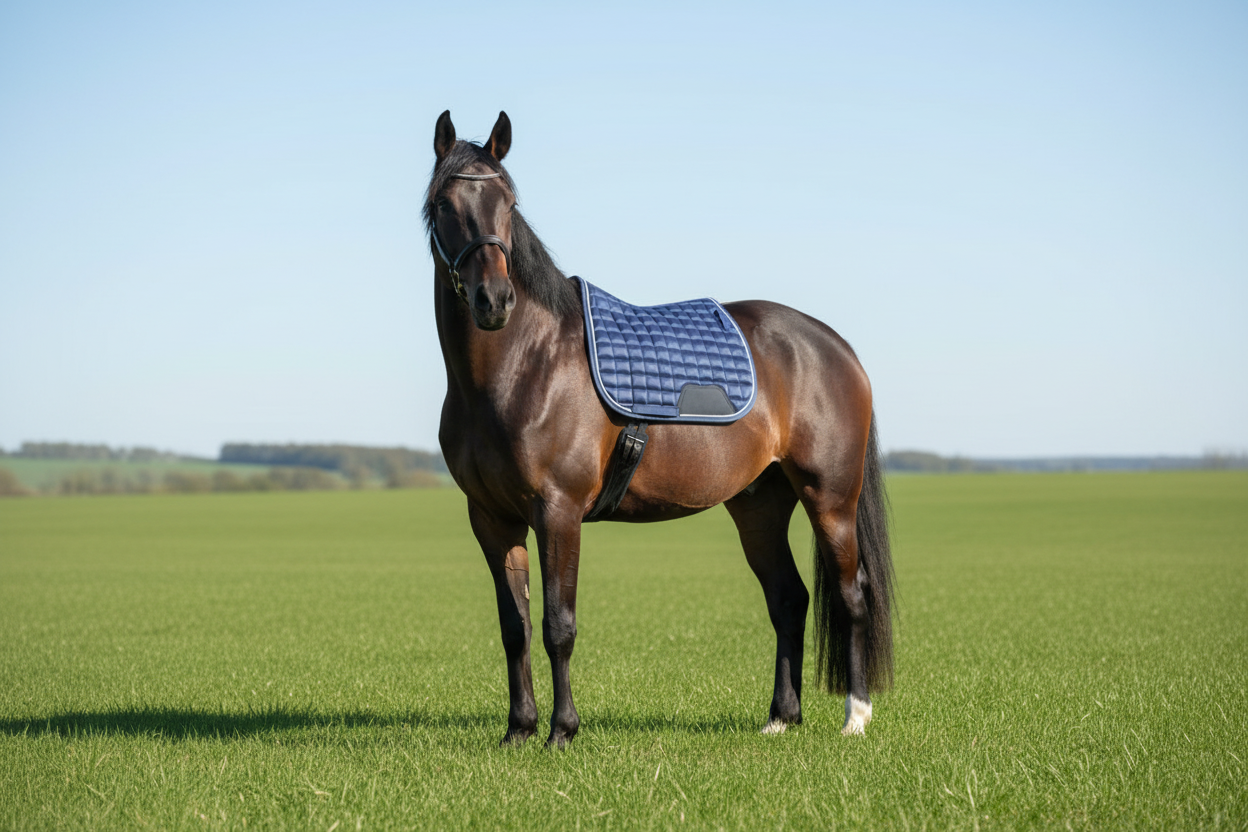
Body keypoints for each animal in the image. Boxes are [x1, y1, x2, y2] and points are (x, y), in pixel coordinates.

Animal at [424, 110, 894, 747]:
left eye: (509, 202)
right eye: (445, 203)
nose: (493, 300)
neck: (524, 364)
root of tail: (834, 346)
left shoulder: (557, 511)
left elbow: (557, 624)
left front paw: (562, 731)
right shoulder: (492, 519)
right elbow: (514, 626)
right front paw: (518, 730)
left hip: (831, 500)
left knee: (851, 597)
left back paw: (855, 717)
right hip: (759, 505)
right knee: (789, 600)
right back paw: (780, 717)